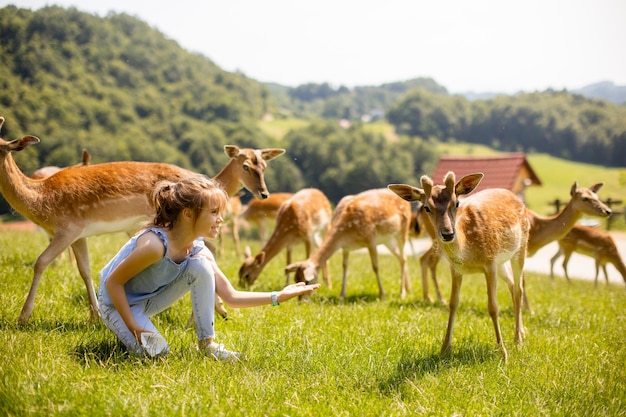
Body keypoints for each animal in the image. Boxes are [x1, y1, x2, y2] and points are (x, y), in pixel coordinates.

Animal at [0, 115, 282, 324]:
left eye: (264, 166)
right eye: (246, 166)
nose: (264, 193)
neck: (41, 200)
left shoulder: (68, 228)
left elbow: (40, 262)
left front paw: (22, 318)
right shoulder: (78, 233)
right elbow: (84, 270)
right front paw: (94, 316)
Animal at [282, 188, 410, 300]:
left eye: (307, 281)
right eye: (296, 279)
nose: (301, 300)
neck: (347, 233)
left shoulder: (371, 239)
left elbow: (375, 267)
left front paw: (382, 294)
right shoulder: (346, 247)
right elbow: (344, 266)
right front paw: (341, 295)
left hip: (403, 231)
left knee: (404, 258)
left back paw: (402, 293)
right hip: (388, 240)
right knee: (400, 258)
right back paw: (408, 289)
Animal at [388, 171, 528, 362]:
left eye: (457, 203)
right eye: (426, 207)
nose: (448, 233)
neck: (467, 251)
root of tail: (516, 197)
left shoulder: (490, 263)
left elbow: (493, 307)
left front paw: (503, 354)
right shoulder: (456, 269)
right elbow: (453, 303)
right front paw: (445, 349)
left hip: (521, 248)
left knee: (519, 289)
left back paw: (518, 340)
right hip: (502, 262)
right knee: (513, 286)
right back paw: (521, 333)